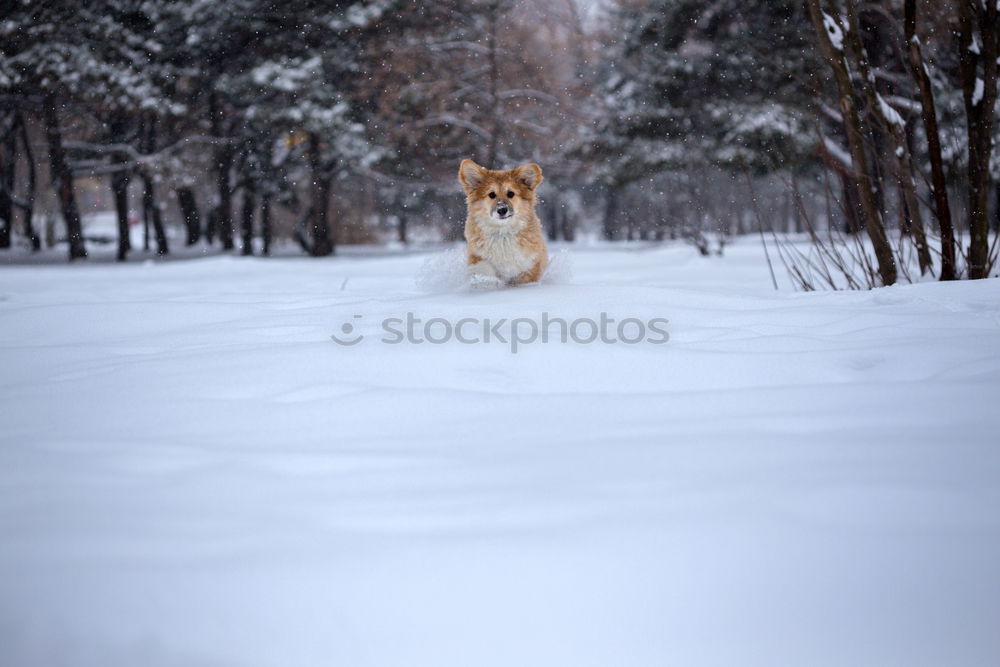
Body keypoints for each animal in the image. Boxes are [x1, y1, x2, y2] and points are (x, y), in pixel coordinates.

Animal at [458, 162, 548, 290]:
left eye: (510, 193)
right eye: (491, 194)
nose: (502, 210)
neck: (503, 234)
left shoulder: (530, 263)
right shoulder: (477, 255)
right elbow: (483, 270)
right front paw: (486, 285)